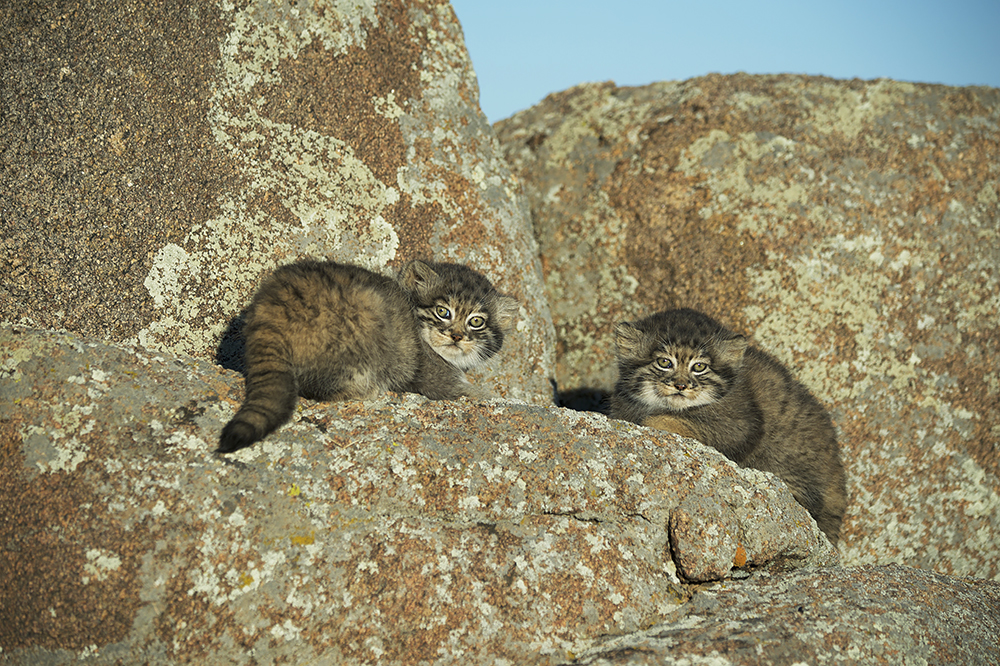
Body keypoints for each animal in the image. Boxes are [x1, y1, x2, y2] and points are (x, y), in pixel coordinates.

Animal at [217, 258, 516, 452]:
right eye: (443, 311)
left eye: (476, 322)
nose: (456, 336)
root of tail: (273, 305)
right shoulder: (438, 382)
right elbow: (478, 393)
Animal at [608, 308, 844, 544]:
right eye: (664, 362)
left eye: (699, 367)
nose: (681, 386)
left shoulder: (739, 426)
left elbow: (674, 422)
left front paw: (649, 420)